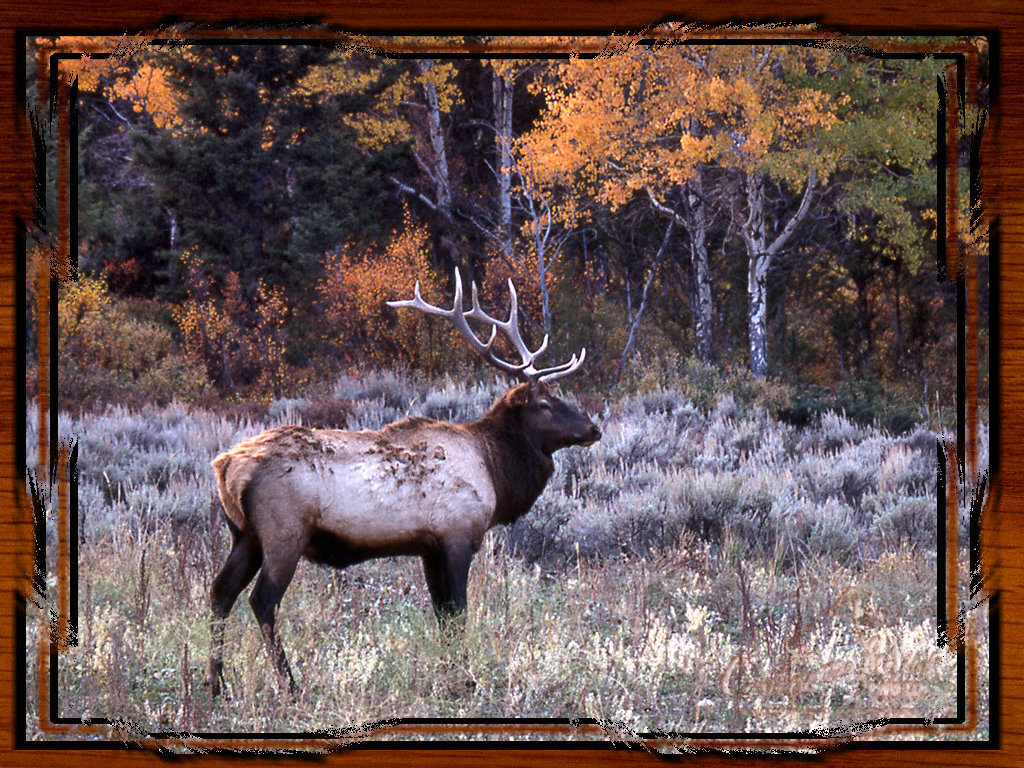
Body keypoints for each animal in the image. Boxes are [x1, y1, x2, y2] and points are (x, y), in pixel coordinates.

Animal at [203, 270, 598, 696]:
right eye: (545, 404)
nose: (593, 428)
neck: (494, 470)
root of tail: (226, 467)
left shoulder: (429, 547)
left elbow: (442, 614)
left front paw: (450, 672)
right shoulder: (457, 534)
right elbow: (458, 612)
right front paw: (466, 678)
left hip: (245, 534)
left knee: (220, 591)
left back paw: (215, 683)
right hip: (283, 533)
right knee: (262, 600)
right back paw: (289, 685)